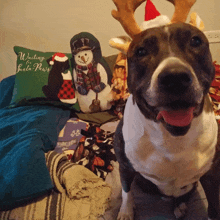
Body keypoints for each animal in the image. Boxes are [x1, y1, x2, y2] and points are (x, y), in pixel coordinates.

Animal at [111, 0, 220, 219]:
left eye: (195, 41)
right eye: (141, 51)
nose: (175, 78)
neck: (172, 141)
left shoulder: (212, 173)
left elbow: (214, 206)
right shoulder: (124, 165)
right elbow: (126, 191)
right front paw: (126, 211)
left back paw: (179, 205)